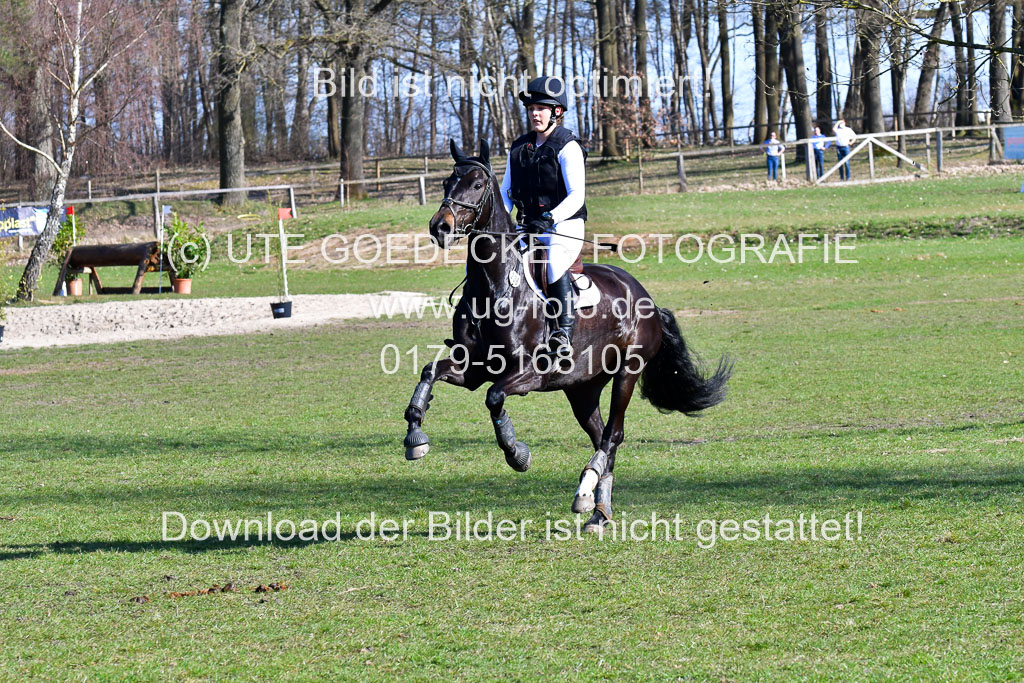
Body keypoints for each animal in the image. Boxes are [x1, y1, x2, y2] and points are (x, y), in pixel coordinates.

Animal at [403, 139, 732, 531]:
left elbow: (495, 398)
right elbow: (430, 372)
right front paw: (414, 435)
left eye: (477, 185)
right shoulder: (474, 368)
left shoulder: (529, 373)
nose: (440, 226)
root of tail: (645, 296)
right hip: (582, 388)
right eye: (446, 183)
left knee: (612, 435)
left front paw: (517, 453)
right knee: (602, 436)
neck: (494, 286)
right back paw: (598, 510)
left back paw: (586, 489)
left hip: (627, 373)